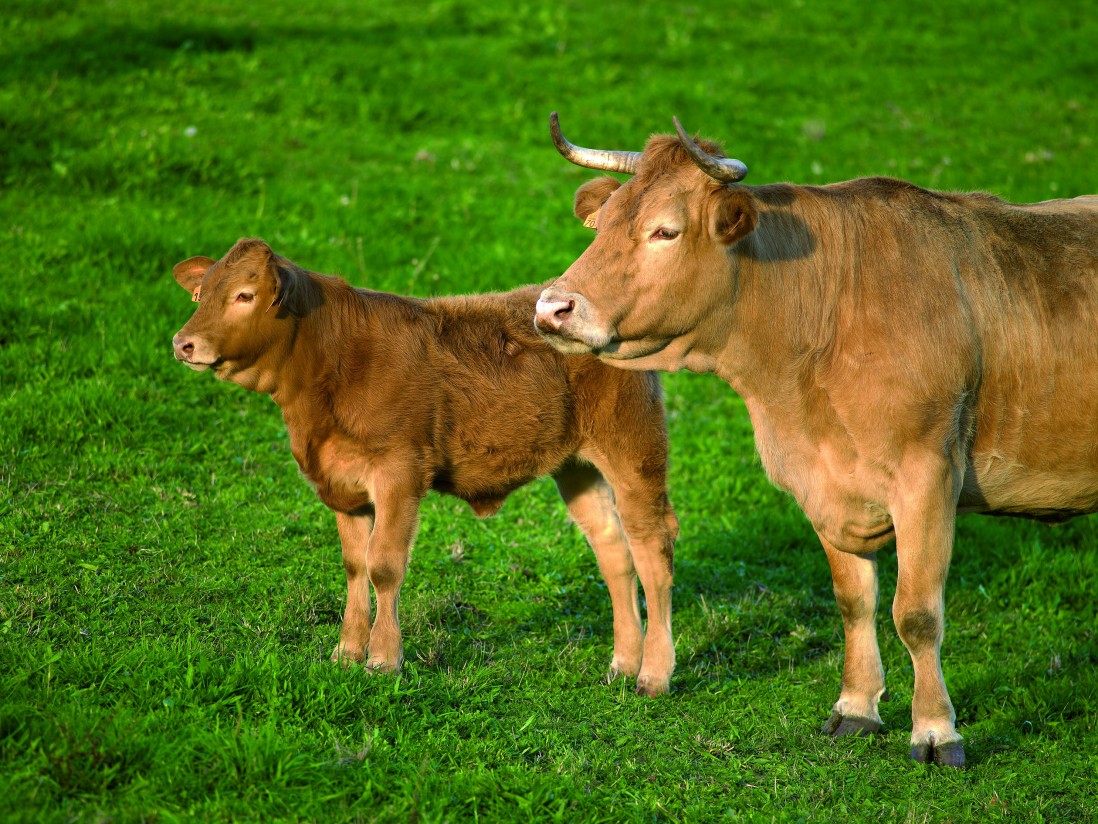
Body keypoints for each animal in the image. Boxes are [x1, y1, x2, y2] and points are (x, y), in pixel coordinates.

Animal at [169, 238, 676, 698]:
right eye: (200, 294)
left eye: (244, 295)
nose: (182, 343)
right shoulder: (342, 484)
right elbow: (354, 565)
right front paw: (346, 653)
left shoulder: (399, 473)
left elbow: (384, 565)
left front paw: (382, 659)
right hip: (577, 467)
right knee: (613, 549)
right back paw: (622, 664)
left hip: (633, 451)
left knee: (653, 550)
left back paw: (653, 675)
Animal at [533, 111, 1098, 769]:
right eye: (601, 225)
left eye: (665, 231)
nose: (551, 308)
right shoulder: (823, 481)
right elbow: (854, 600)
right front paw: (857, 707)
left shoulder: (928, 474)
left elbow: (917, 613)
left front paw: (936, 731)